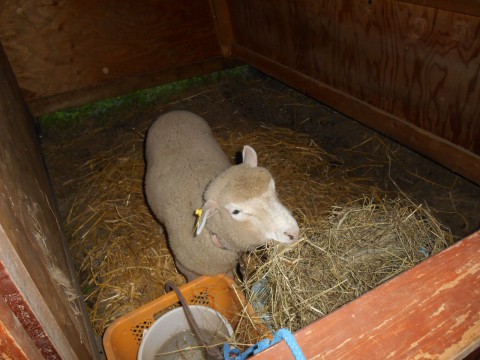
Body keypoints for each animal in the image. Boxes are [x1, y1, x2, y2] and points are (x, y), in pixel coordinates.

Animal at [144, 110, 298, 282]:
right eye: (236, 212)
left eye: (273, 187)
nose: (294, 233)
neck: (211, 232)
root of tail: (174, 112)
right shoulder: (188, 270)